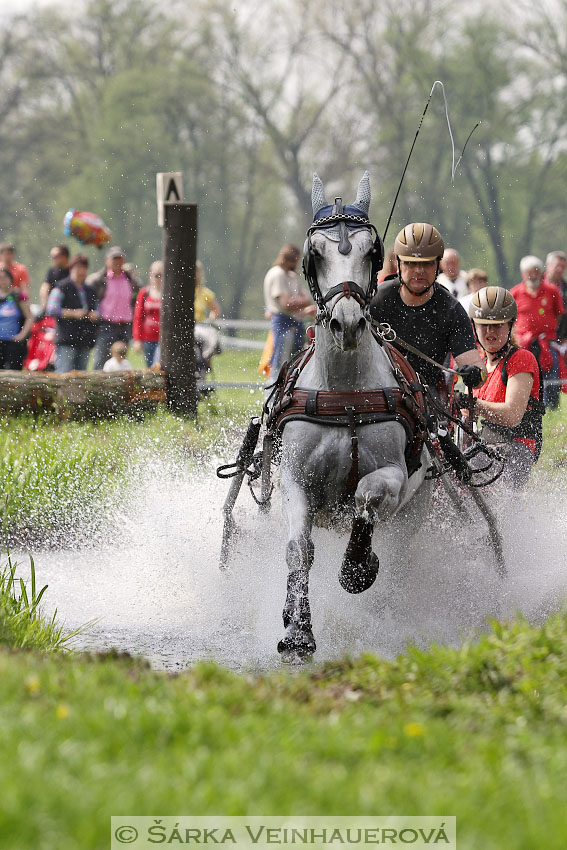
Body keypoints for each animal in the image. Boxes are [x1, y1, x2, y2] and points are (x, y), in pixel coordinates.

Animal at [278, 169, 430, 656]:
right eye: (316, 253)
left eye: (370, 250)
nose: (346, 324)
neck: (344, 395)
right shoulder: (295, 480)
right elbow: (298, 549)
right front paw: (298, 629)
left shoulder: (395, 476)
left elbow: (364, 497)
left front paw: (357, 568)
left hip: (414, 511)